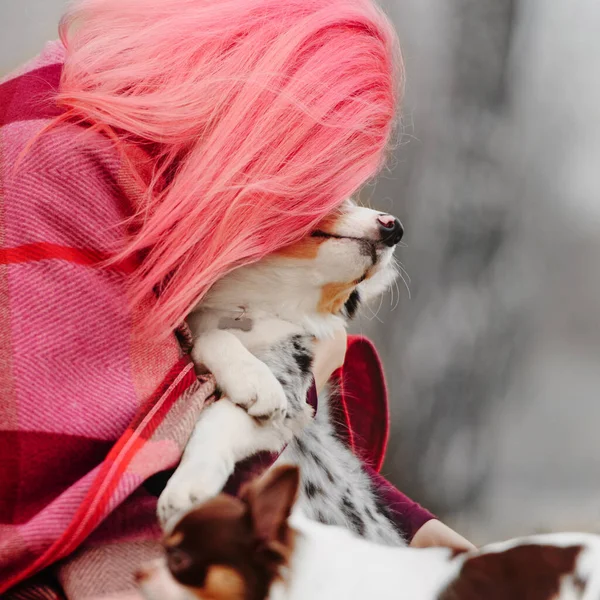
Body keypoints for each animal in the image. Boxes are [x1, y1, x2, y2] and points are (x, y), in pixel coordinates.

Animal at [157, 199, 406, 548]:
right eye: (341, 201)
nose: (395, 227)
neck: (253, 306)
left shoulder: (292, 393)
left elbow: (222, 419)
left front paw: (189, 487)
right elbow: (211, 337)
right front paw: (252, 376)